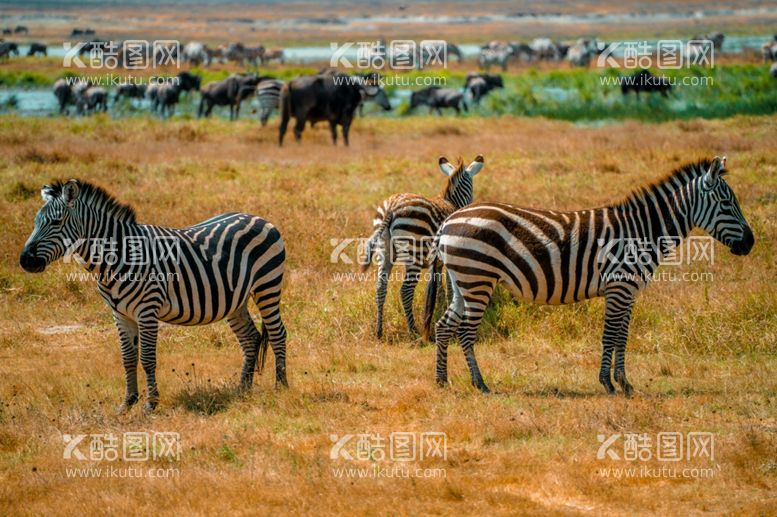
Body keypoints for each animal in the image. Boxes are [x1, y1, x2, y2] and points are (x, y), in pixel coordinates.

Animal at [20, 179, 288, 410]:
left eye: (56, 222)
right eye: (35, 222)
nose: (25, 261)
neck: (119, 255)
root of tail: (257, 217)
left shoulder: (146, 310)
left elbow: (147, 358)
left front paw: (150, 404)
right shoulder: (120, 314)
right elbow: (128, 358)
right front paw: (127, 403)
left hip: (267, 285)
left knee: (277, 333)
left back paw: (281, 386)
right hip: (235, 299)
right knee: (250, 338)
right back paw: (243, 389)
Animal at [360, 155, 482, 336]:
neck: (450, 201)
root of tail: (391, 207)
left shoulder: (437, 262)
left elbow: (437, 286)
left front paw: (439, 306)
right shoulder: (444, 259)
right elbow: (447, 287)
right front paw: (446, 306)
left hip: (384, 250)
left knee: (380, 287)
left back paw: (379, 331)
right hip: (414, 253)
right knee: (405, 291)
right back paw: (413, 330)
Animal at [424, 155, 752, 394]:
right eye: (727, 203)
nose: (750, 243)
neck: (643, 232)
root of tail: (450, 219)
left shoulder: (629, 291)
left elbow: (622, 336)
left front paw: (625, 383)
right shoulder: (619, 287)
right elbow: (610, 335)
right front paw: (608, 383)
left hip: (462, 281)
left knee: (444, 326)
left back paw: (442, 381)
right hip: (478, 278)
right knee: (466, 331)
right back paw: (480, 384)